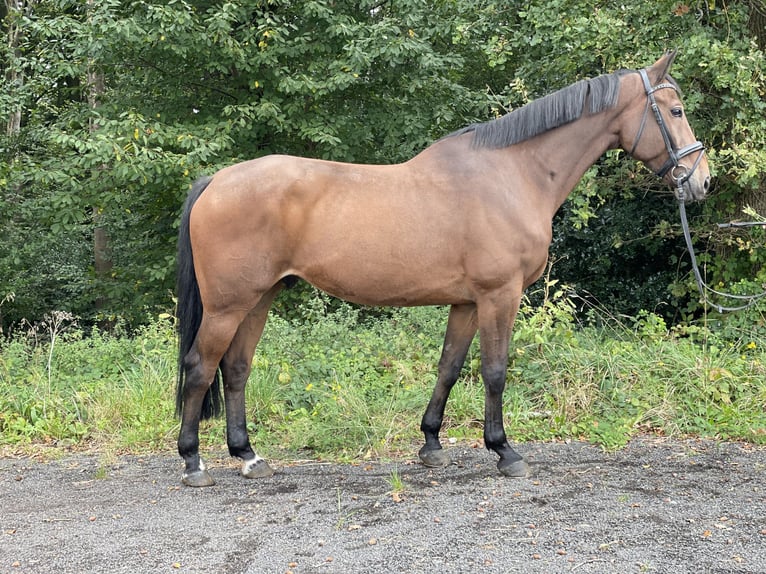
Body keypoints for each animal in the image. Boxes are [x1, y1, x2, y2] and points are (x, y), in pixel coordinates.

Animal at [176, 53, 712, 486]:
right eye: (675, 111)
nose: (702, 181)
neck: (513, 175)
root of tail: (216, 181)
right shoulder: (500, 295)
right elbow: (494, 370)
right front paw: (505, 451)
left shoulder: (467, 301)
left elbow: (450, 367)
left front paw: (431, 444)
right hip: (228, 306)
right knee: (200, 367)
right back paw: (193, 462)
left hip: (258, 299)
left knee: (236, 369)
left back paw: (248, 456)